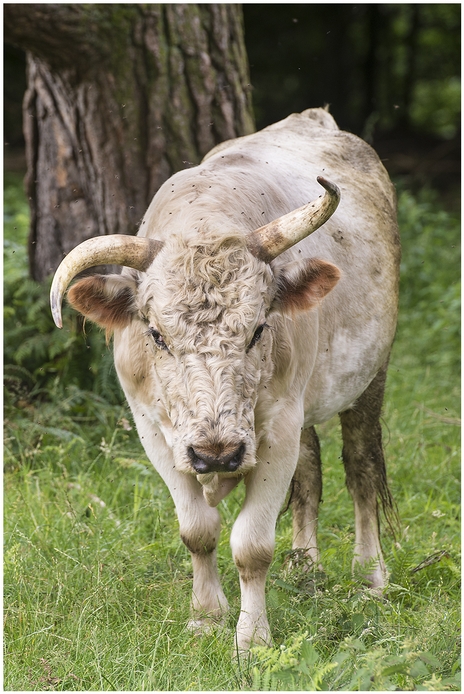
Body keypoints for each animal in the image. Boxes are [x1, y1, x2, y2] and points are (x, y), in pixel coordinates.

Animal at [49, 107, 398, 652]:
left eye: (258, 329)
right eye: (156, 334)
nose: (217, 453)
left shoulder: (276, 429)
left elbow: (251, 545)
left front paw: (252, 638)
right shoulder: (156, 431)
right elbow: (198, 530)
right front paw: (206, 617)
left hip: (368, 377)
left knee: (361, 469)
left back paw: (370, 578)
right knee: (311, 474)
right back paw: (306, 571)